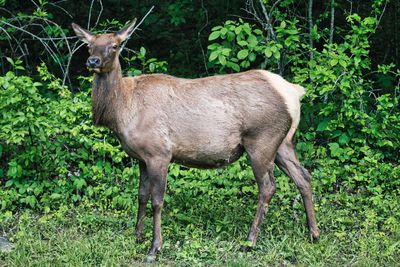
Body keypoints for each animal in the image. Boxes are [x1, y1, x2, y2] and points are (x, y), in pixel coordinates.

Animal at [72, 18, 320, 264]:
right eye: (89, 45)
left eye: (114, 46)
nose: (92, 61)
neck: (123, 111)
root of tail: (294, 92)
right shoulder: (141, 158)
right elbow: (141, 196)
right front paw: (137, 236)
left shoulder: (159, 153)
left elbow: (157, 201)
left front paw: (154, 248)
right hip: (283, 142)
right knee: (304, 177)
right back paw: (314, 233)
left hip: (261, 140)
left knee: (268, 187)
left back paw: (250, 241)